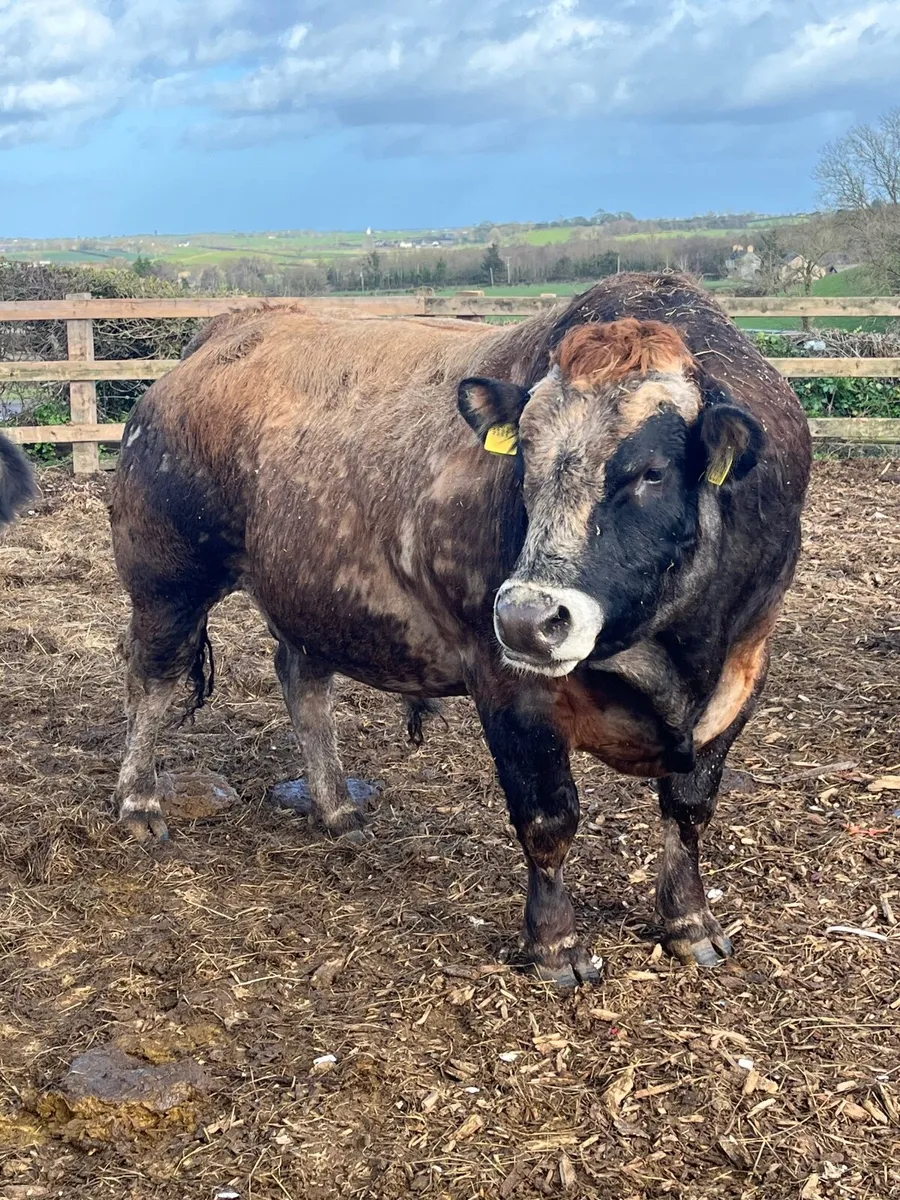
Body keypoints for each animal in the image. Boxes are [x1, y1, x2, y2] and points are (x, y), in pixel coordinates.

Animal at [109, 273, 811, 986]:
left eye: (651, 471)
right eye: (523, 460)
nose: (527, 619)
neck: (675, 649)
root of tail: (222, 332)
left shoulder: (743, 670)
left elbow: (690, 809)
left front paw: (690, 922)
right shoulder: (508, 684)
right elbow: (548, 817)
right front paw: (556, 945)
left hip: (308, 595)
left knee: (303, 683)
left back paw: (335, 807)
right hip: (168, 579)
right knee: (152, 678)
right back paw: (139, 805)